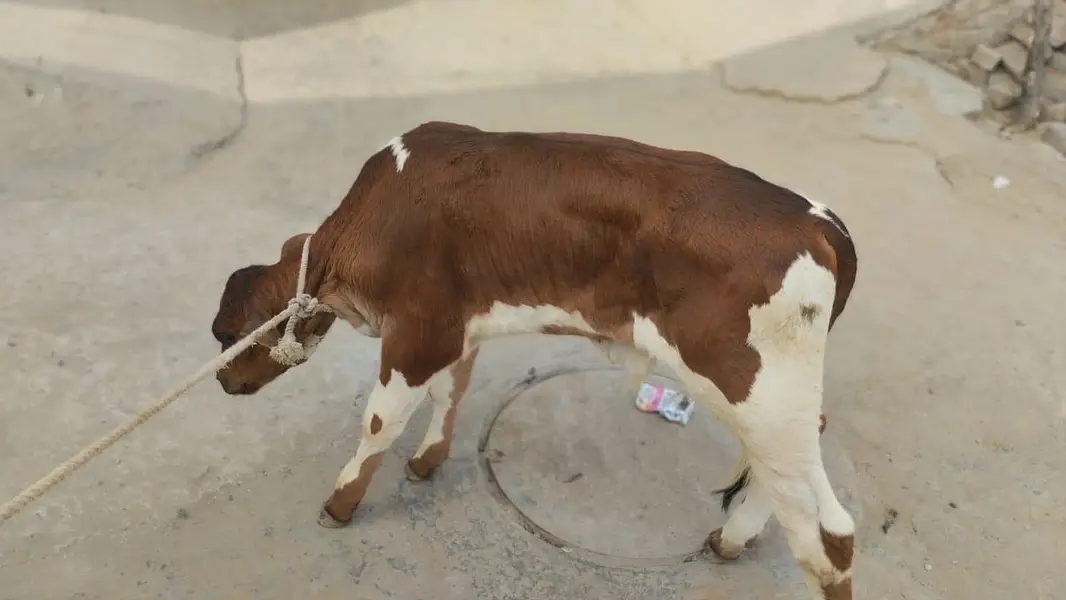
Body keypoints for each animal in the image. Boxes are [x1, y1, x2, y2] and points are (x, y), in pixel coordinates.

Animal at [210, 121, 858, 600]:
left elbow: (379, 422)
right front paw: (428, 459)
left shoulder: (418, 332)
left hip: (754, 386)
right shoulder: (457, 324)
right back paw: (731, 537)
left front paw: (339, 505)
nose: (220, 380)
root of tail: (819, 221)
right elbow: (451, 391)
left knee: (829, 532)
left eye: (224, 333)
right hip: (764, 396)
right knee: (797, 467)